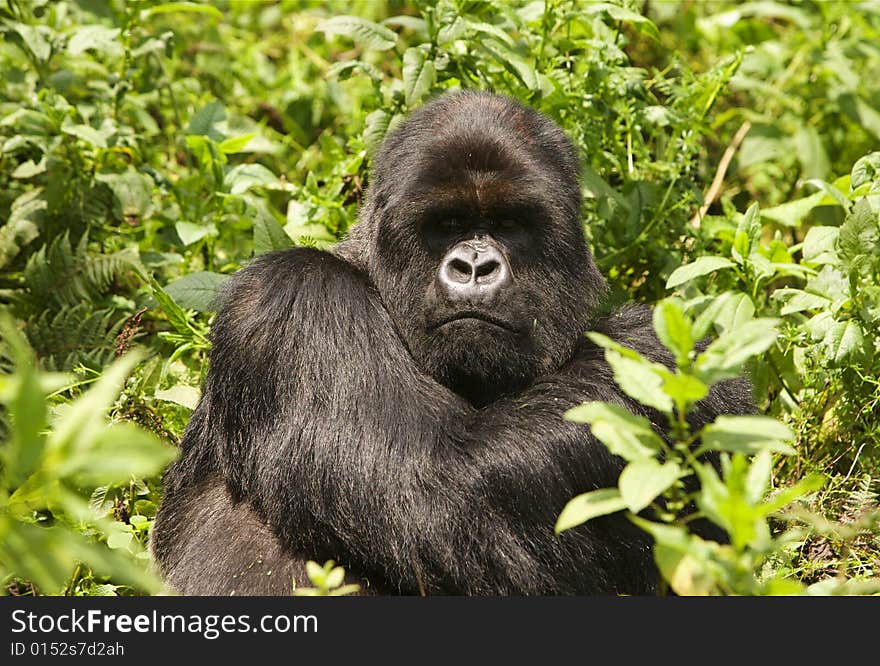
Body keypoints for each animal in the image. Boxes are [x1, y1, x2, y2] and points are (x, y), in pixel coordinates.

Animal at [150, 91, 748, 592]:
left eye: (509, 223)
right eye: (448, 222)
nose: (475, 267)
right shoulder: (295, 302)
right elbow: (441, 483)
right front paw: (660, 356)